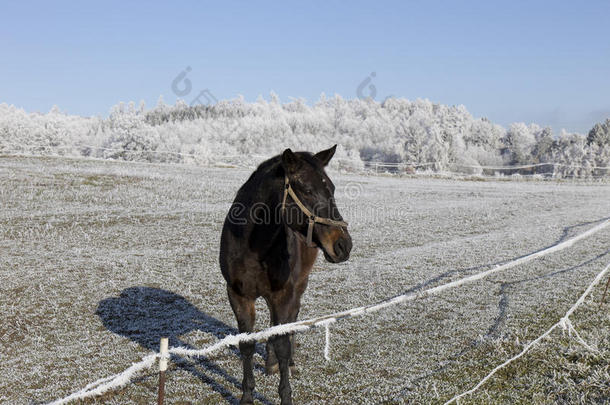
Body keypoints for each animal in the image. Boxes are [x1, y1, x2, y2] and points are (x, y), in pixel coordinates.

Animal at [218, 146, 352, 404]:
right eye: (308, 190)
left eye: (331, 189)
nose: (343, 245)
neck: (253, 246)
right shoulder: (238, 295)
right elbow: (247, 344)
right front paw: (247, 395)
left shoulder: (284, 294)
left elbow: (282, 344)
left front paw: (285, 393)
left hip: (297, 287)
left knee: (289, 322)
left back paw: (287, 363)